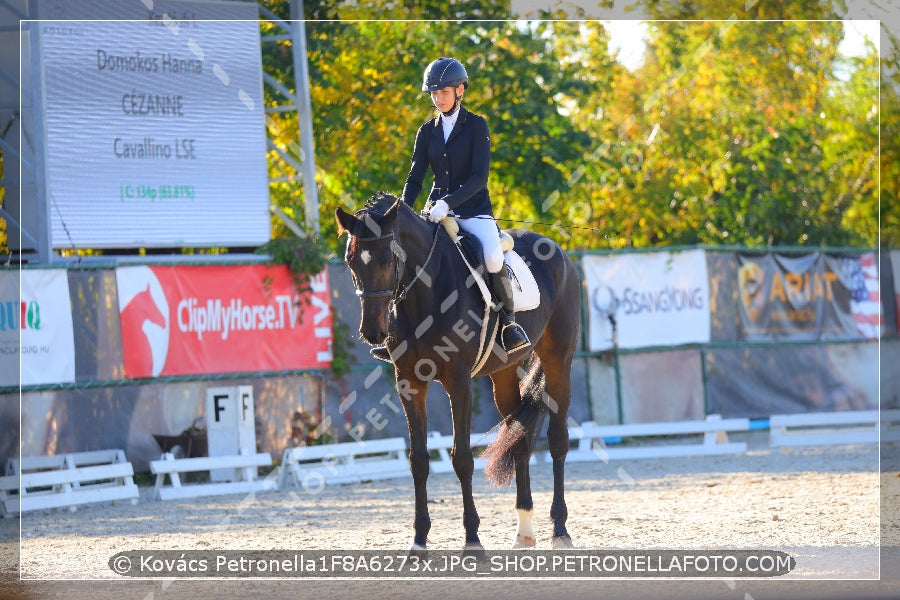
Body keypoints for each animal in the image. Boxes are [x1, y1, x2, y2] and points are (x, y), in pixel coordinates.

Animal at [334, 192, 580, 552]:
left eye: (387, 259)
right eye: (351, 261)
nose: (373, 332)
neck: (423, 293)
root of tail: (558, 250)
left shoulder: (459, 382)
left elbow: (462, 458)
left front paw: (473, 540)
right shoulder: (409, 382)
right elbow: (418, 461)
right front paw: (419, 541)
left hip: (558, 360)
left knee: (558, 440)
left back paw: (560, 529)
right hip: (504, 372)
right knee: (518, 437)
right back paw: (524, 530)